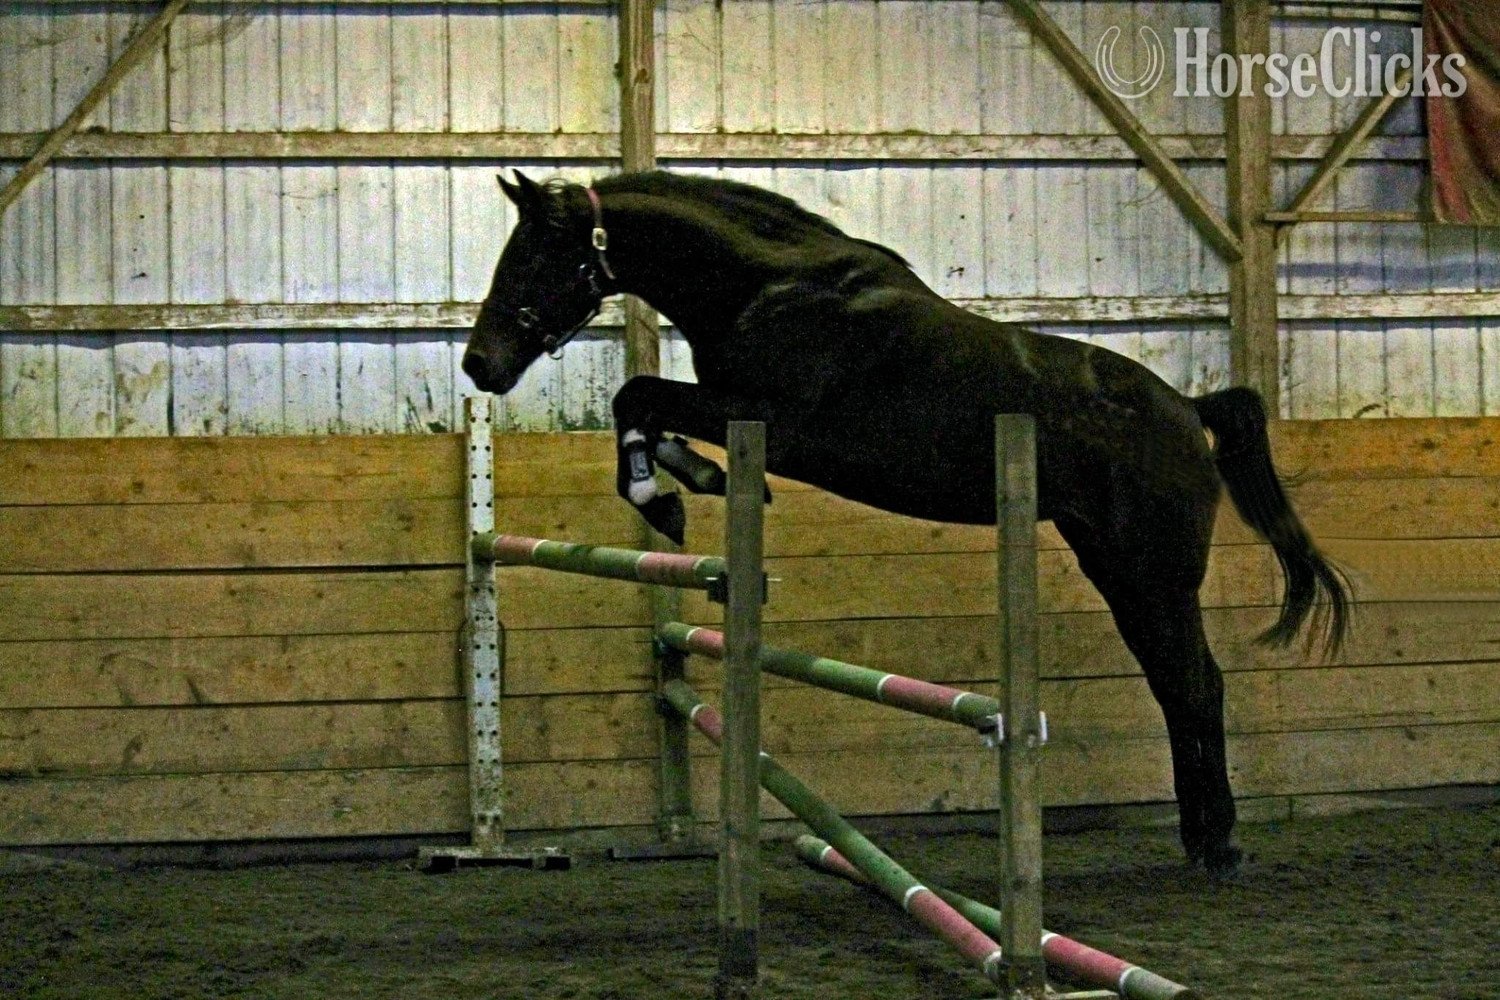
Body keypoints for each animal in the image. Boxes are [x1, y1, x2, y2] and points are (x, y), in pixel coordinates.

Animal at [462, 169, 1351, 876]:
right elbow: (639, 403)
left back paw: (1220, 845)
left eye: (533, 257)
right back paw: (1200, 838)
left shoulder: (775, 422)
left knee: (1197, 685)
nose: (480, 364)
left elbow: (638, 394)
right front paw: (681, 480)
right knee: (1177, 687)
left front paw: (673, 491)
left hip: (1153, 573)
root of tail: (1189, 411)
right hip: (1118, 570)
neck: (768, 287)